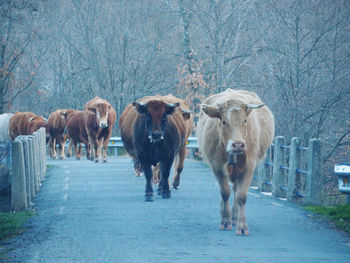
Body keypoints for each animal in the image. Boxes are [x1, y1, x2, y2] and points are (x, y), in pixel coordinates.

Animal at [197, 89, 274, 236]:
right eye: (224, 122)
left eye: (245, 120)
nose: (238, 145)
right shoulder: (217, 167)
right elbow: (224, 192)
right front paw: (225, 220)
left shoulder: (249, 167)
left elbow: (241, 196)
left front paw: (242, 225)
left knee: (236, 189)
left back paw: (234, 216)